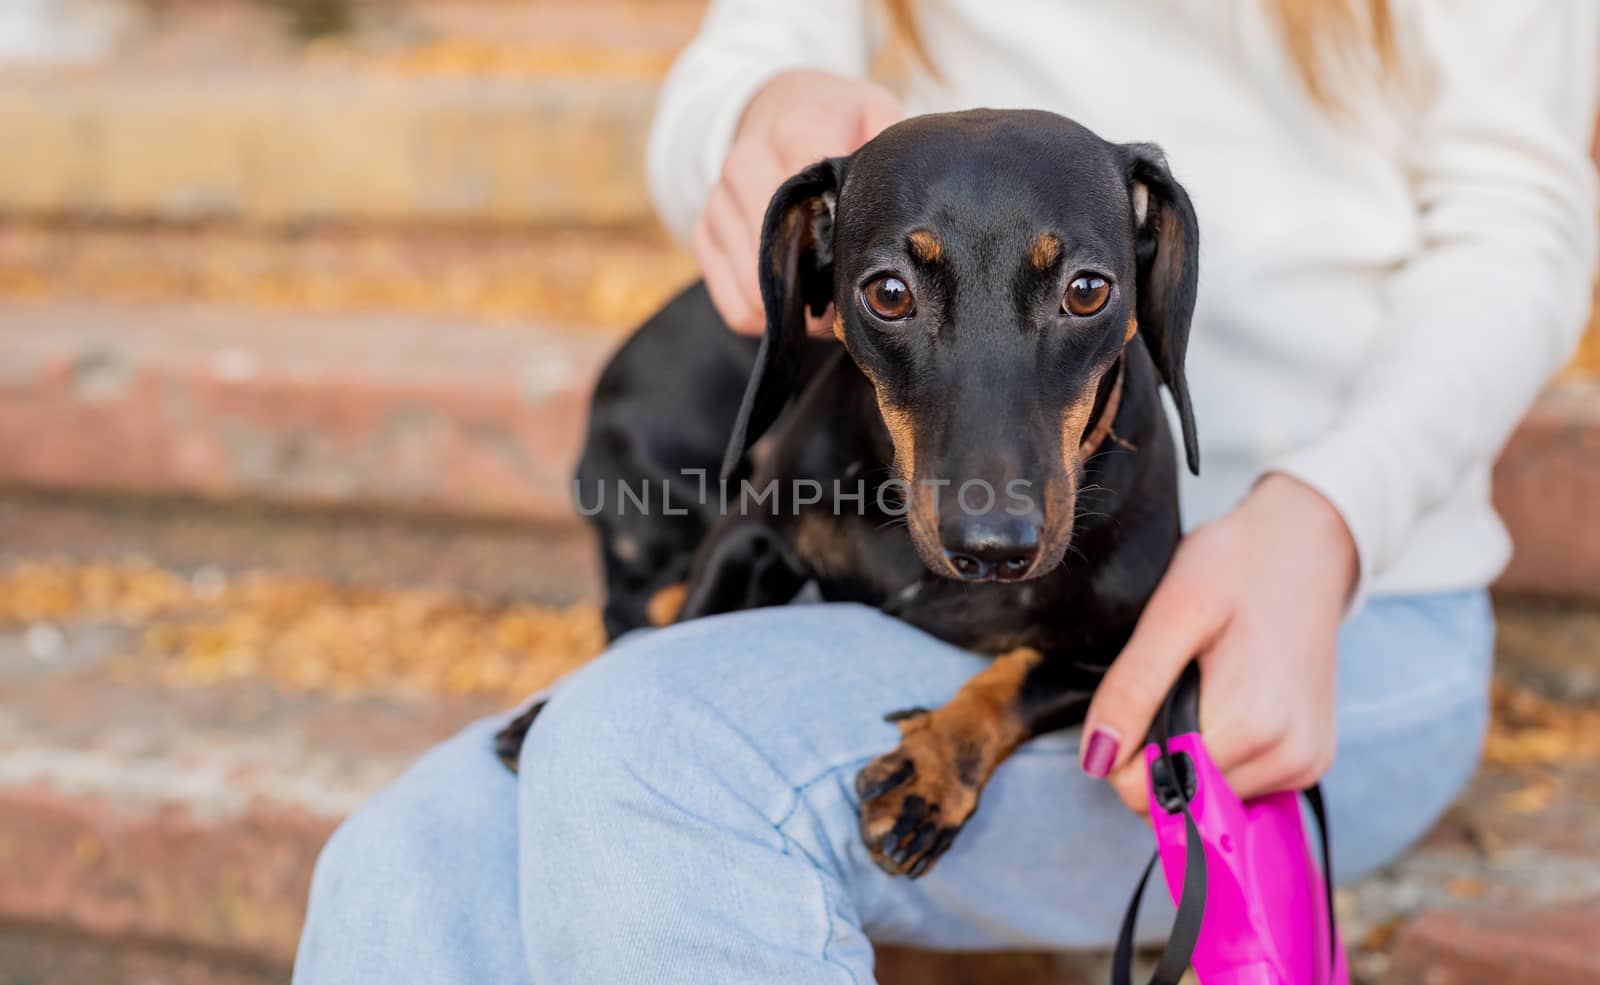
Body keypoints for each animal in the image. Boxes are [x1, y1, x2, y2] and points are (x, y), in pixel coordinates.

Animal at [499, 109, 1203, 876]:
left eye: (1088, 291)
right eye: (889, 293)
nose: (993, 548)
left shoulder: (1130, 652)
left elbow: (1021, 677)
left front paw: (930, 769)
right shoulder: (751, 533)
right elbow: (689, 623)